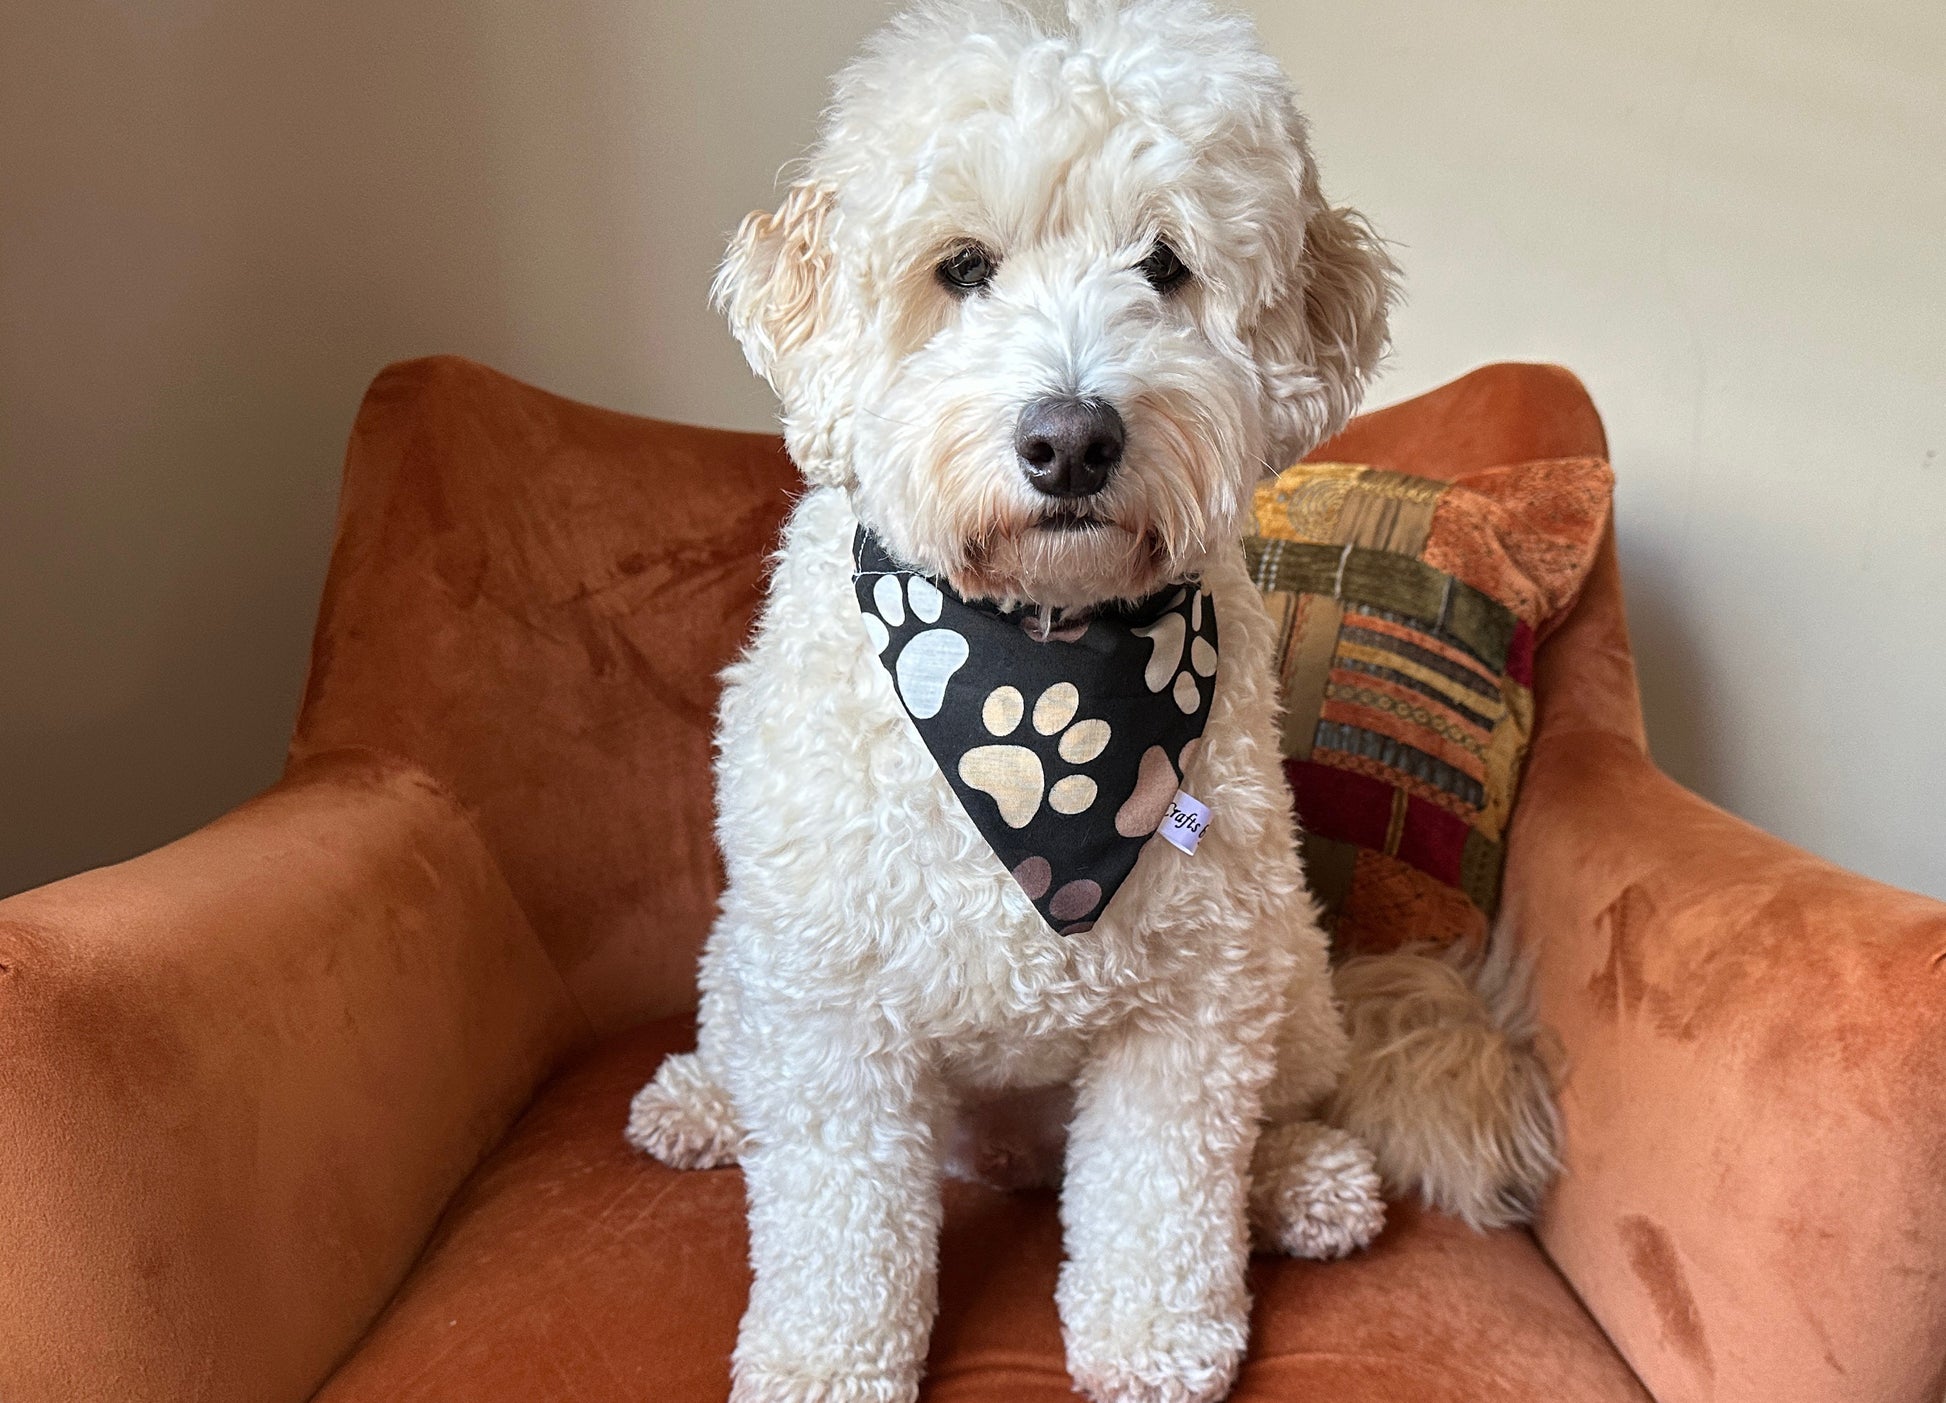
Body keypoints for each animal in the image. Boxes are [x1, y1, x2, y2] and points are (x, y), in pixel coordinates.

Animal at [630, 2, 1556, 1401]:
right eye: (960, 267)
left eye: (1162, 265)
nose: (1070, 439)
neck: (1035, 652)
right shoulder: (833, 998)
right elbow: (839, 1215)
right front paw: (823, 1357)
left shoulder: (1194, 996)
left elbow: (1161, 1191)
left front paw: (1154, 1339)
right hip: (749, 959)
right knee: (751, 1057)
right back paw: (699, 1103)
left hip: (1287, 964)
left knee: (1278, 1106)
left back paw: (1300, 1184)